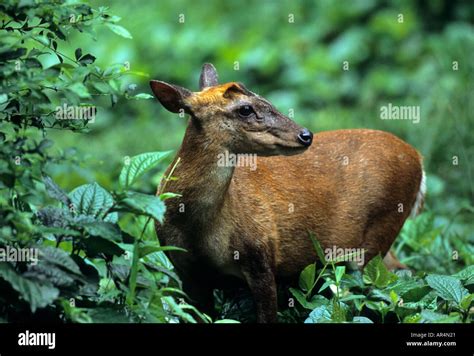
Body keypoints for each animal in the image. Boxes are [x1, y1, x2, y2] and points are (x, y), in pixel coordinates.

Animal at [152, 63, 426, 322]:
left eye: (265, 98)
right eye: (245, 109)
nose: (305, 135)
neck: (200, 231)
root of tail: (418, 159)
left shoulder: (261, 255)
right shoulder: (186, 272)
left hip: (379, 230)